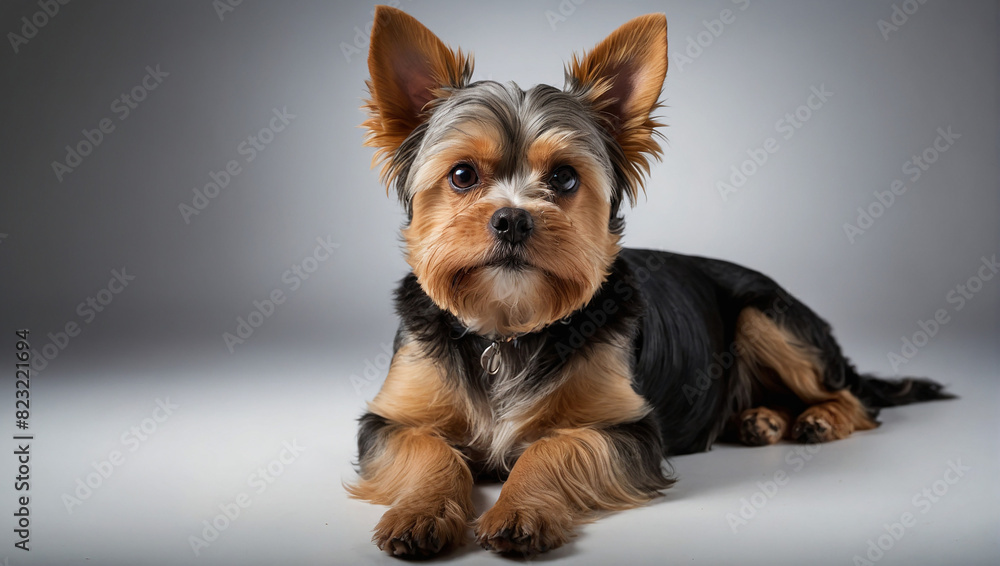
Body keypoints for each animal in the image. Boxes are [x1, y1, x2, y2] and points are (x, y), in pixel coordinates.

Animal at [350, 7, 952, 560]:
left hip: (768, 316)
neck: (510, 327)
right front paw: (420, 513)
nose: (513, 220)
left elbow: (555, 448)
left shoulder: (624, 427)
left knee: (856, 398)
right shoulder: (390, 419)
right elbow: (428, 451)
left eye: (565, 178)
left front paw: (520, 510)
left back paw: (820, 418)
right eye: (462, 176)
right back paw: (760, 419)